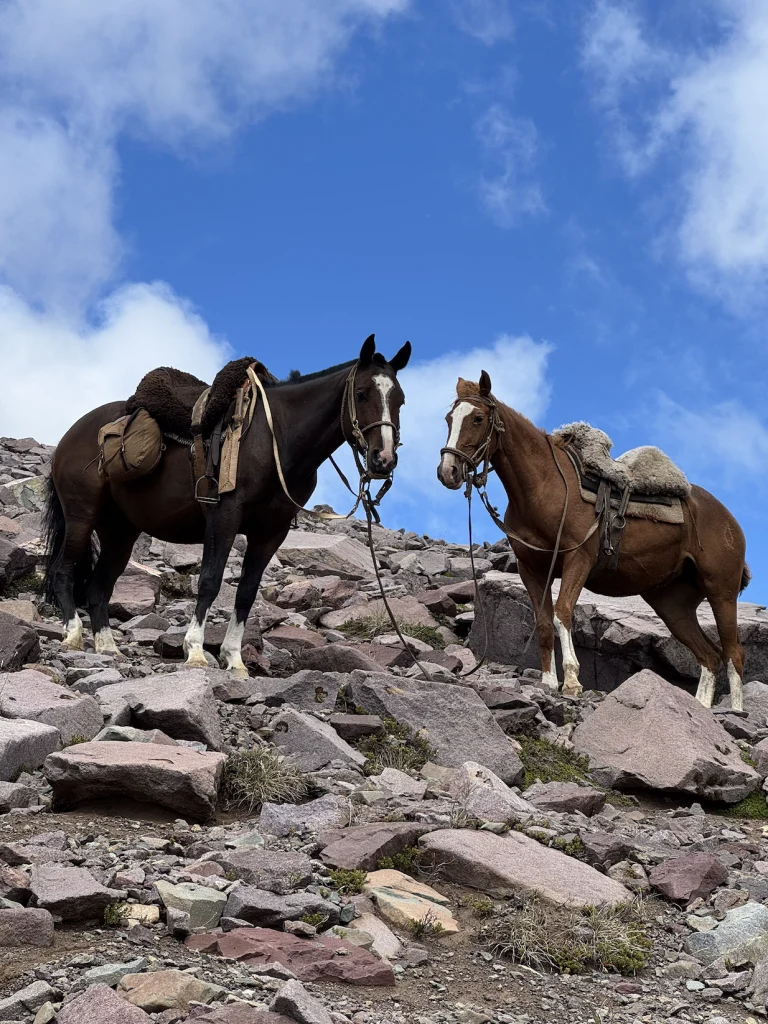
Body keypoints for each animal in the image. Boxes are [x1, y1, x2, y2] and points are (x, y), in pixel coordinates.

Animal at [43, 335, 411, 678]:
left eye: (401, 400)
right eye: (362, 393)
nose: (383, 460)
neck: (277, 436)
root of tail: (70, 436)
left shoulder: (271, 532)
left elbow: (246, 593)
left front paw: (234, 660)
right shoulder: (224, 516)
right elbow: (210, 580)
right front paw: (194, 651)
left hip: (120, 531)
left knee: (99, 587)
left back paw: (108, 647)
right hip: (81, 516)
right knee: (63, 570)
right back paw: (73, 634)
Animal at [437, 371, 750, 711]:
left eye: (478, 418)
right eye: (449, 419)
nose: (448, 472)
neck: (545, 486)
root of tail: (729, 519)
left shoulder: (578, 559)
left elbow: (562, 613)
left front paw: (572, 681)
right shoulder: (531, 569)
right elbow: (543, 622)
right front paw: (549, 682)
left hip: (721, 590)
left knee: (733, 653)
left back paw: (736, 712)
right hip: (671, 602)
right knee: (710, 656)